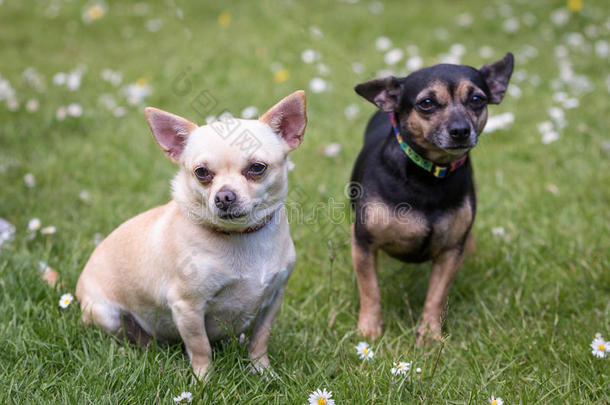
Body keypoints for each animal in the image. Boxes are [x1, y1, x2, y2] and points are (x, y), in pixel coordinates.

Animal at [350, 51, 510, 340]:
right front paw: (369, 330)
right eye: (426, 103)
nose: (460, 130)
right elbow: (370, 291)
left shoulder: (449, 253)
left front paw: (430, 336)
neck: (429, 175)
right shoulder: (364, 245)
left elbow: (436, 297)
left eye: (477, 100)